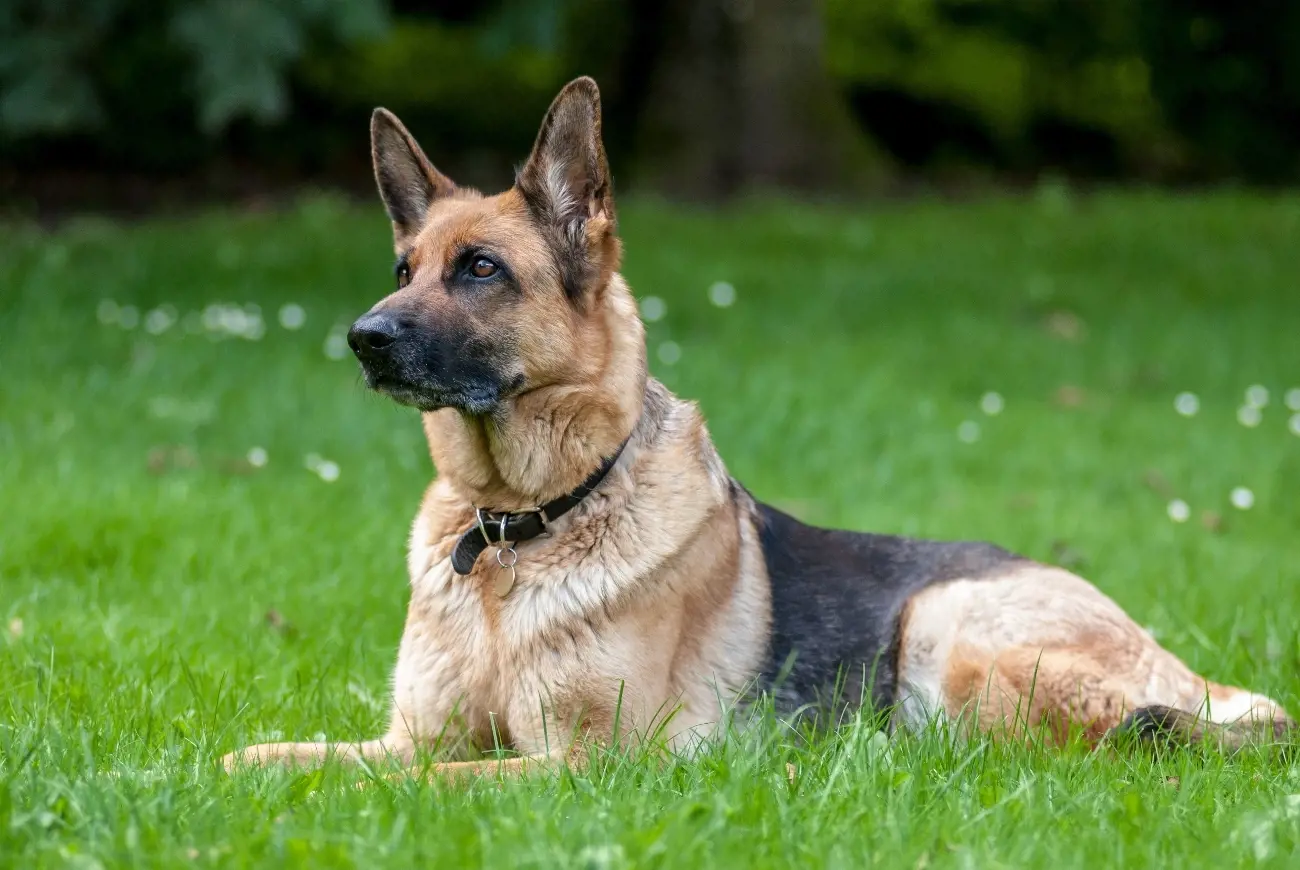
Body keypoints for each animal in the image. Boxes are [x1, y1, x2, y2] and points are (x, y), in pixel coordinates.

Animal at [223, 78, 1289, 775]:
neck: (516, 531)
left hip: (952, 630)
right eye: (405, 271)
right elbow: (269, 760)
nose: (361, 339)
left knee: (1103, 740)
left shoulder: (586, 767)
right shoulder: (407, 735)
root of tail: (1192, 674)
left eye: (480, 270)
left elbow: (434, 785)